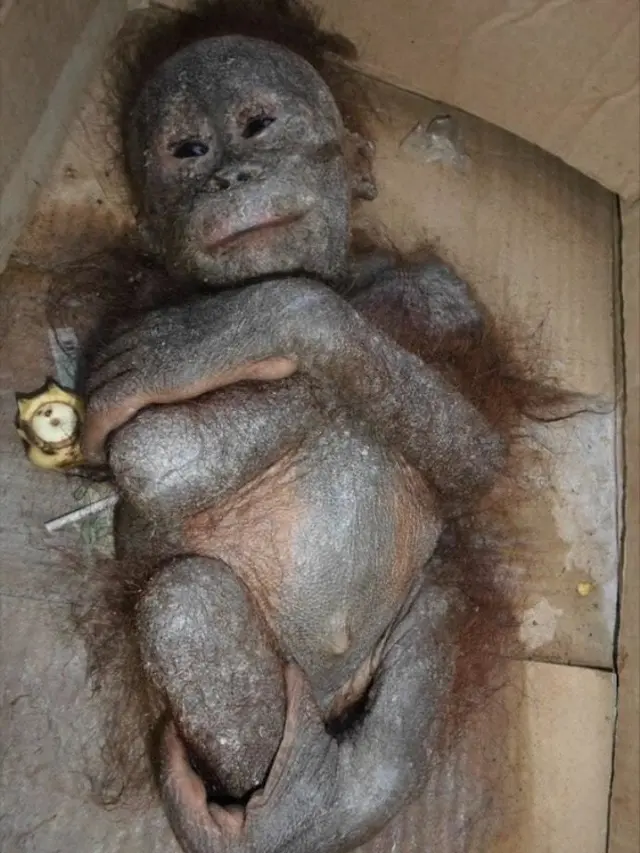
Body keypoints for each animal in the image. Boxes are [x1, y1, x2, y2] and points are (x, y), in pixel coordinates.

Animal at [71, 2, 574, 851]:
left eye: (258, 125)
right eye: (186, 150)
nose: (230, 176)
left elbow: (478, 452)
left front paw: (240, 326)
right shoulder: (116, 305)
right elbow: (148, 457)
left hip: (413, 618)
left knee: (435, 624)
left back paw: (318, 795)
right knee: (186, 603)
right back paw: (278, 805)